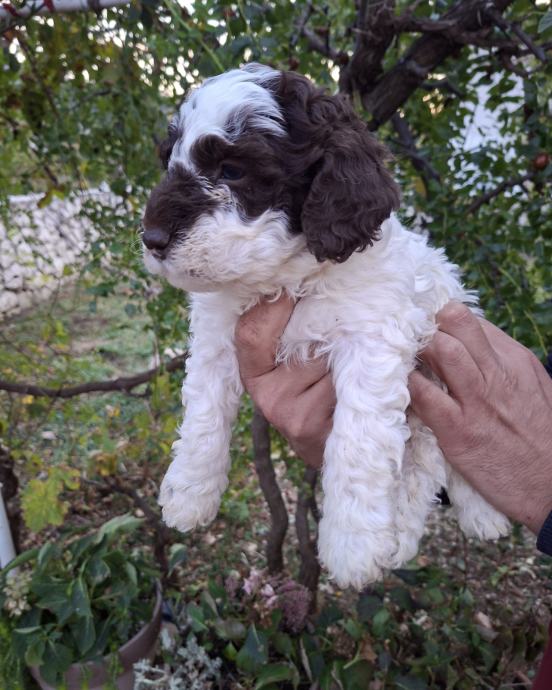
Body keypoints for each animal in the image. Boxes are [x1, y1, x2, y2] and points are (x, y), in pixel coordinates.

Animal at [142, 64, 510, 589]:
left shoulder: (372, 340)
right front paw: (189, 492)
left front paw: (353, 546)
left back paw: (439, 528)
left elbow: (358, 445)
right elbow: (204, 412)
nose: (151, 238)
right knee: (426, 459)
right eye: (169, 160)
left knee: (435, 461)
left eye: (232, 170)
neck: (290, 278)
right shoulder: (216, 333)